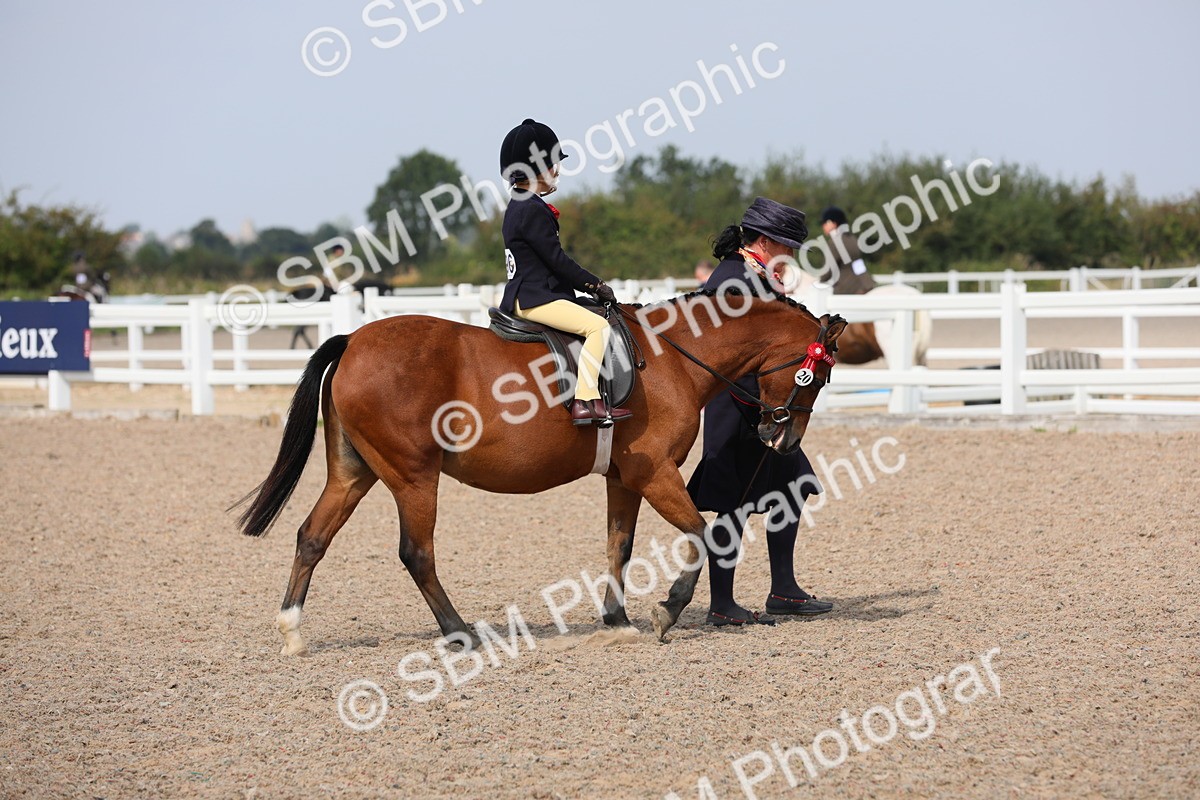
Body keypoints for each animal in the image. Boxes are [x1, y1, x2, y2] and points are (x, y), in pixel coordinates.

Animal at [235, 283, 846, 655]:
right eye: (816, 376)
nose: (782, 438)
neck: (671, 354)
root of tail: (352, 340)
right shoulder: (655, 474)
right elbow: (703, 532)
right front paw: (667, 611)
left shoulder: (624, 479)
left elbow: (619, 546)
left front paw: (617, 620)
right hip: (413, 477)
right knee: (416, 553)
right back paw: (460, 633)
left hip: (354, 473)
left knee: (312, 537)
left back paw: (292, 631)